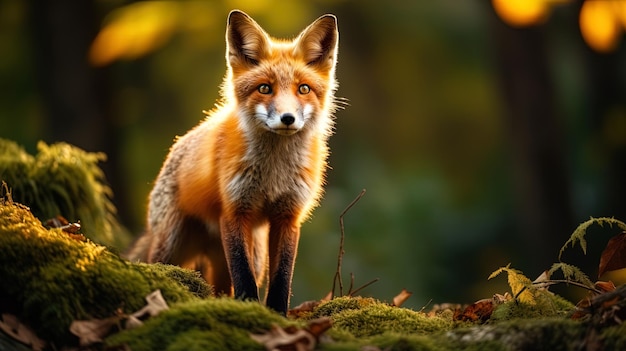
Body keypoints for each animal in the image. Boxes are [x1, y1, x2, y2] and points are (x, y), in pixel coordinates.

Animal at [127, 9, 338, 314]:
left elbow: (282, 276)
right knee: (161, 263)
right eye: (265, 88)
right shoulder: (235, 210)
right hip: (172, 244)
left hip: (253, 255)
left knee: (222, 288)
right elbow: (242, 273)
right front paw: (249, 309)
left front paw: (277, 314)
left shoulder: (288, 215)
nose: (287, 118)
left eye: (303, 89)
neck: (273, 172)